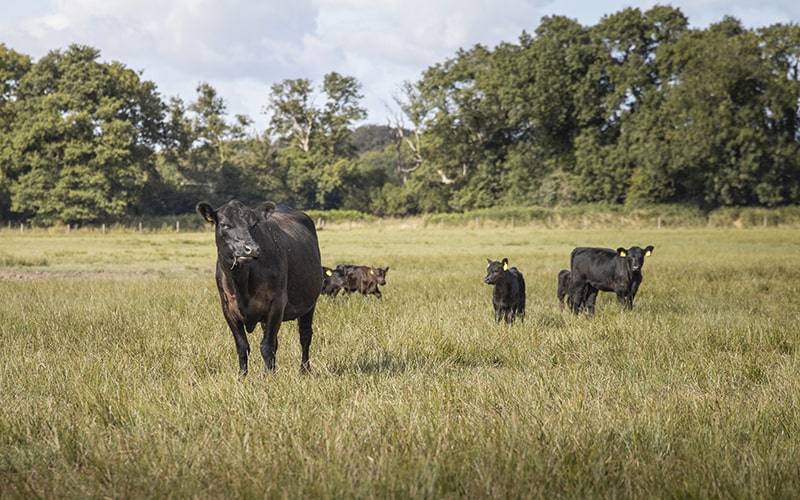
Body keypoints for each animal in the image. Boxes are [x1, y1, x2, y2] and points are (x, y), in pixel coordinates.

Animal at [196, 199, 322, 376]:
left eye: (254, 224)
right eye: (225, 224)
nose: (251, 249)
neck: (242, 284)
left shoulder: (276, 303)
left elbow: (266, 346)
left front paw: (267, 378)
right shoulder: (227, 307)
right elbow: (242, 346)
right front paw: (242, 377)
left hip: (309, 303)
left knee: (305, 335)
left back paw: (304, 369)